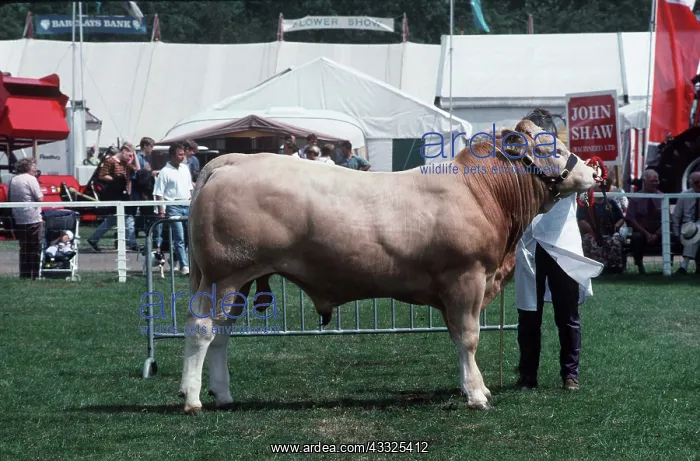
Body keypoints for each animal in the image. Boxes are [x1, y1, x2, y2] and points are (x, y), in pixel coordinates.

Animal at [177, 119, 602, 414]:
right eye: (552, 147)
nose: (593, 172)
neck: (480, 193)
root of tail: (231, 160)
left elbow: (458, 337)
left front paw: (474, 387)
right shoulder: (466, 277)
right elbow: (468, 337)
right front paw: (477, 394)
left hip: (239, 281)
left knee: (222, 335)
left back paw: (223, 395)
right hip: (222, 276)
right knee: (202, 330)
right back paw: (193, 400)